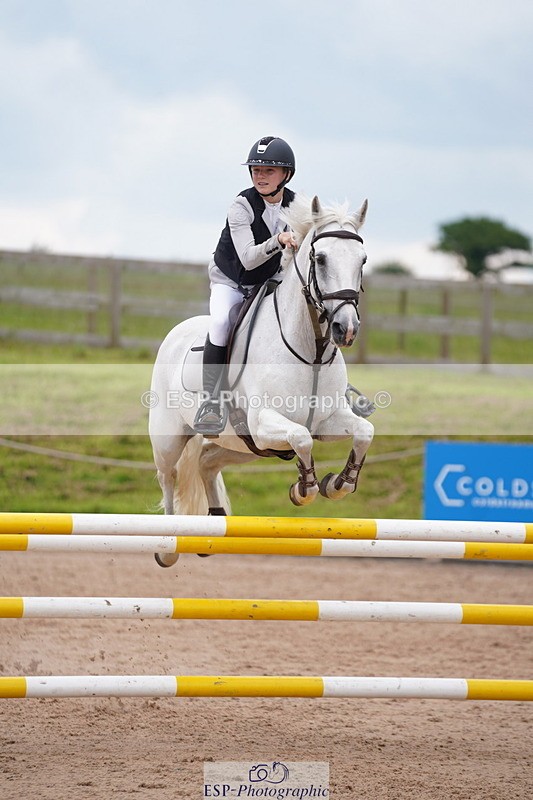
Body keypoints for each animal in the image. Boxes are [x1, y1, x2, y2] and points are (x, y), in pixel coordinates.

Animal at [149, 194, 374, 565]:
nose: (347, 329)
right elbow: (301, 440)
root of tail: (177, 331)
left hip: (245, 447)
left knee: (207, 460)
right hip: (169, 437)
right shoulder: (265, 421)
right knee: (169, 477)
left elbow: (364, 432)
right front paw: (304, 489)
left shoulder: (326, 420)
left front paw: (338, 484)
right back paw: (168, 546)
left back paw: (214, 522)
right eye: (321, 259)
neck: (311, 351)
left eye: (363, 260)